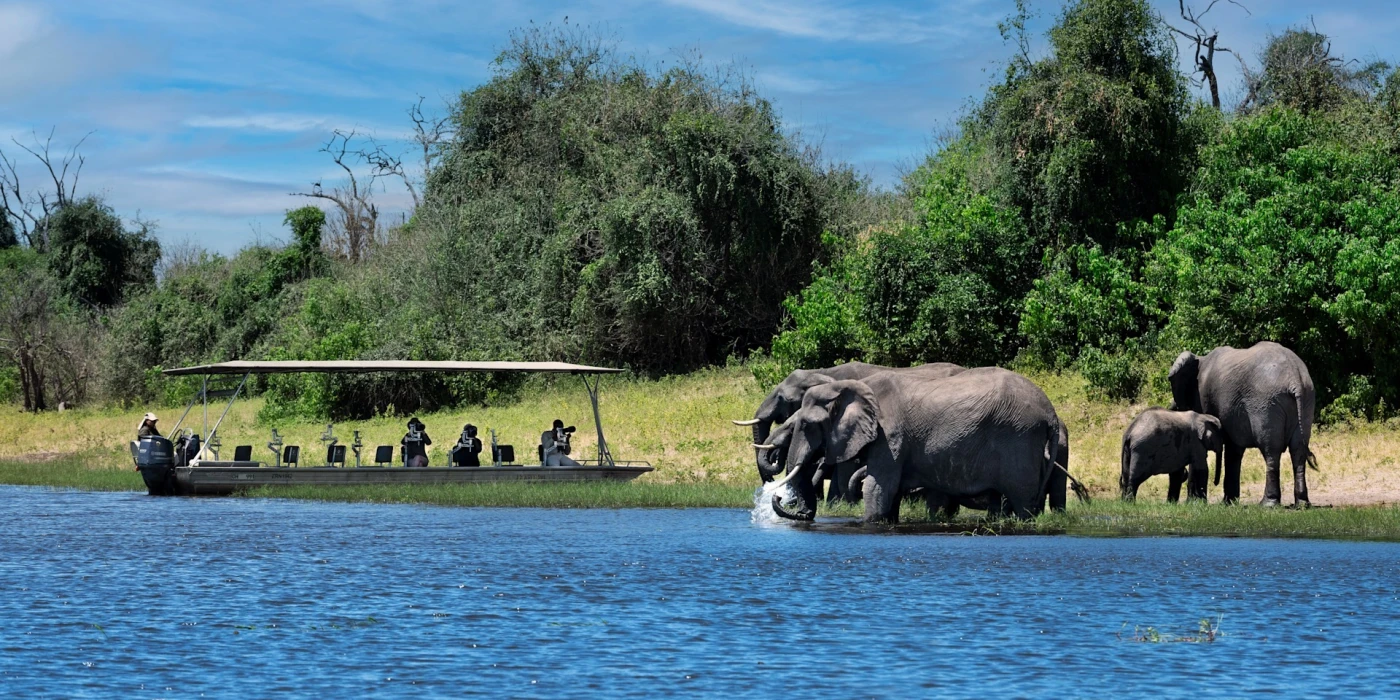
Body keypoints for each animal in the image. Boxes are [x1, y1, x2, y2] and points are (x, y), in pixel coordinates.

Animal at [767, 369, 1058, 523]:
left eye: (807, 425)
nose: (778, 496)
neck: (848, 386)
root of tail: (1051, 414)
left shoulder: (889, 436)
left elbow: (877, 487)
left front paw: (862, 523)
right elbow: (890, 492)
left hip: (1019, 439)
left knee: (1022, 502)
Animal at [1164, 341, 1316, 506]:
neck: (1200, 359)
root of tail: (1295, 379)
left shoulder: (1203, 396)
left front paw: (1194, 502)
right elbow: (1234, 450)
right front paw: (1229, 502)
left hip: (1266, 403)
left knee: (1271, 450)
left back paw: (1267, 504)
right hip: (1306, 401)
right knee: (1298, 450)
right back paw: (1302, 504)